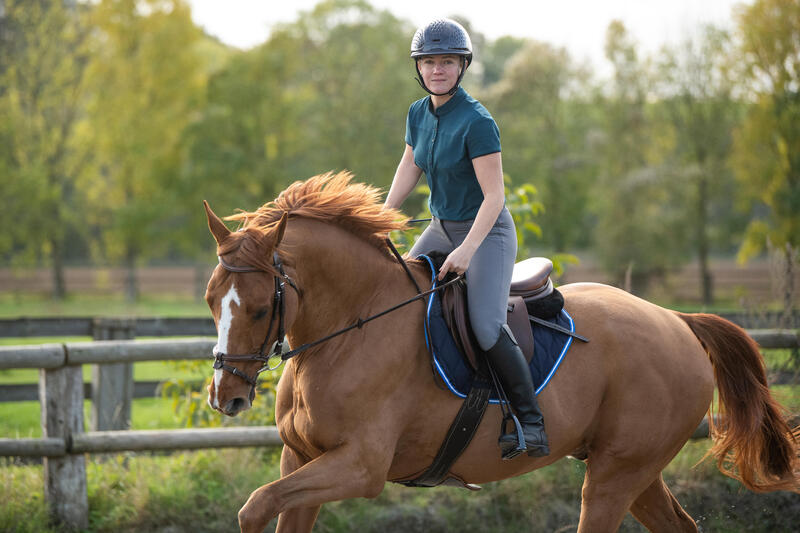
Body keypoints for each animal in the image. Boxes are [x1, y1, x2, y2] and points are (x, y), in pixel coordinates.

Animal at [203, 172, 796, 528]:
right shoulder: (299, 458)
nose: (226, 396)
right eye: (211, 299)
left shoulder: (359, 467)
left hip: (617, 473)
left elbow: (255, 506)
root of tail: (676, 320)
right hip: (636, 470)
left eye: (259, 309)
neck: (350, 328)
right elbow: (267, 506)